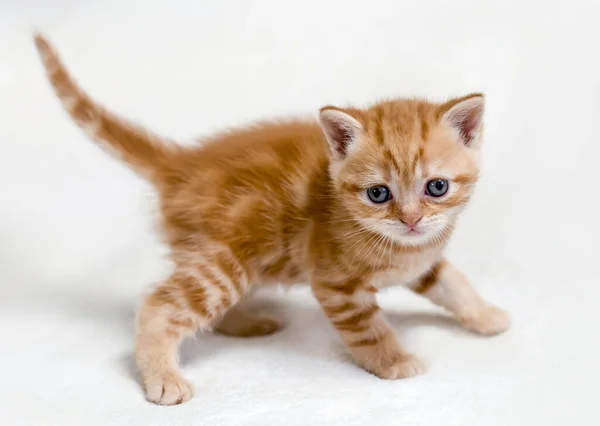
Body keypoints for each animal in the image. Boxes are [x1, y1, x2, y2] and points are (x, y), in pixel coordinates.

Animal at [34, 34, 510, 406]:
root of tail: (180, 164)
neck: (398, 244)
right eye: (379, 194)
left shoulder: (423, 261)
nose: (410, 219)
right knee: (160, 305)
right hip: (224, 263)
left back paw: (248, 323)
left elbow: (453, 283)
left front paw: (485, 315)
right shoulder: (337, 285)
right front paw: (394, 361)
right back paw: (164, 379)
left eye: (437, 187)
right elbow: (369, 329)